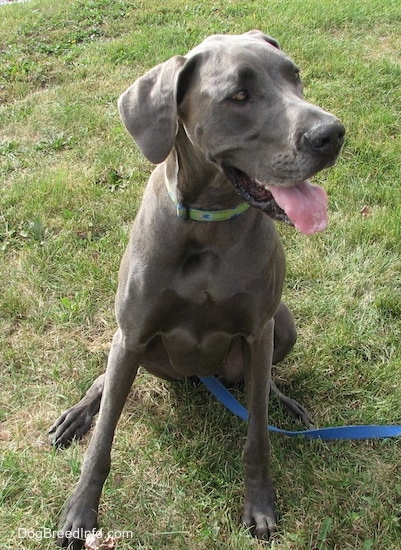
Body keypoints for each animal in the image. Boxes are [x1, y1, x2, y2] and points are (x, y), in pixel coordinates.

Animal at [49, 32, 344, 548]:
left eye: (295, 76)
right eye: (239, 95)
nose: (331, 134)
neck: (209, 225)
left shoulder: (258, 330)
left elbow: (257, 436)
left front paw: (260, 505)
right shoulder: (133, 331)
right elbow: (103, 442)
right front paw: (79, 513)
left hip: (282, 323)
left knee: (261, 384)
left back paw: (283, 402)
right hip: (131, 343)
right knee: (106, 381)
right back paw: (79, 412)